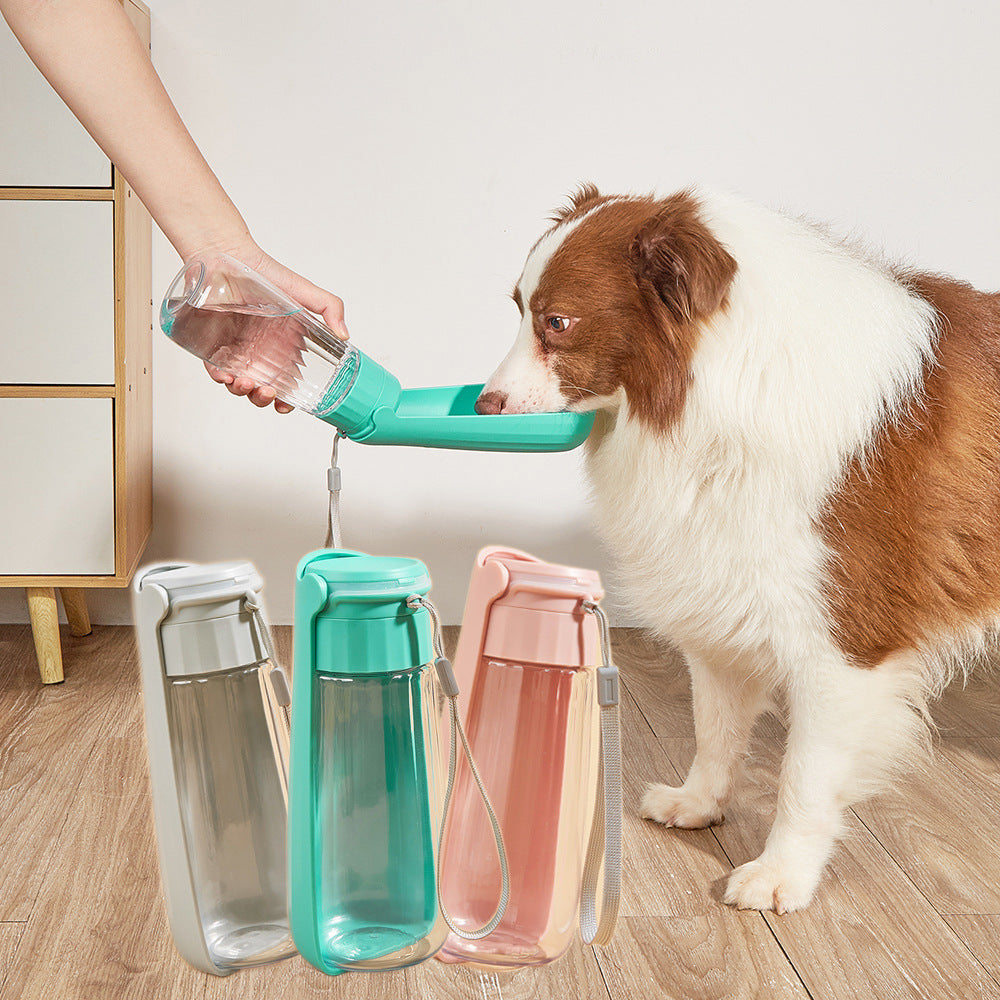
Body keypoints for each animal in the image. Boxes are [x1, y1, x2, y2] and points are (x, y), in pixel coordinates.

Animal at [472, 186, 1000, 916]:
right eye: (518, 310)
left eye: (558, 321)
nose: (483, 404)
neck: (716, 391)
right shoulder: (720, 585)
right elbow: (714, 724)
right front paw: (699, 802)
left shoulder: (844, 642)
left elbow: (805, 775)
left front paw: (782, 873)